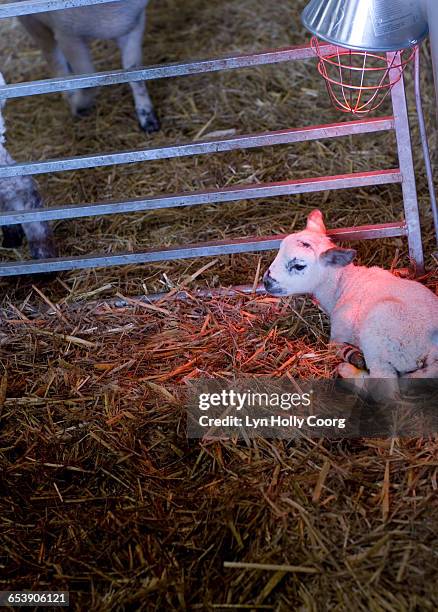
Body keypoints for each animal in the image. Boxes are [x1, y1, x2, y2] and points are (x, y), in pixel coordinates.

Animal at [18, 0, 161, 133]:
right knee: (53, 57)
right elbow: (88, 81)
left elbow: (135, 72)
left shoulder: (134, 24)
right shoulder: (67, 36)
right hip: (32, 21)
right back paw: (68, 92)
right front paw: (78, 107)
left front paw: (148, 120)